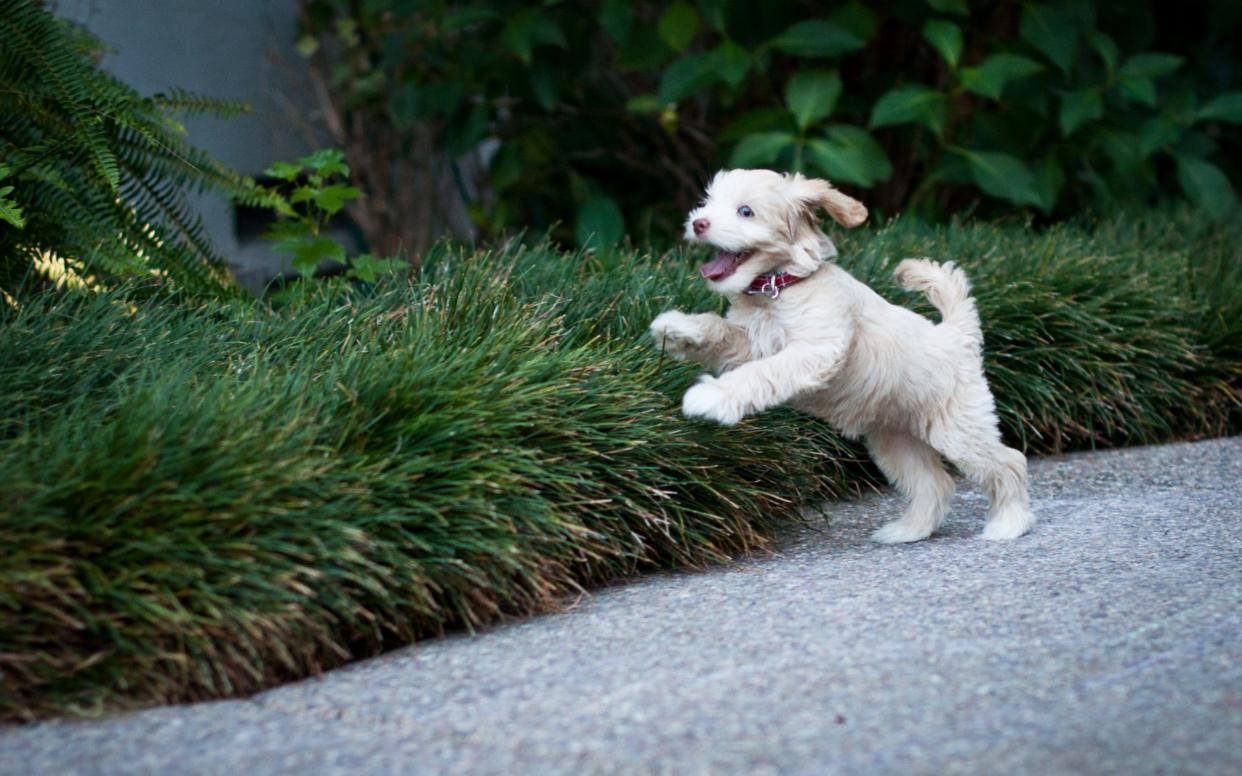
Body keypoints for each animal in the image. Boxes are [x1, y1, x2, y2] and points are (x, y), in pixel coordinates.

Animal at [655, 170, 1033, 541]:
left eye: (745, 211)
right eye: (708, 202)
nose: (698, 223)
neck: (780, 286)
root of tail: (955, 335)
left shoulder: (815, 349)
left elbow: (761, 373)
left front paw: (710, 396)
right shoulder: (751, 344)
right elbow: (720, 331)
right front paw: (679, 329)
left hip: (958, 431)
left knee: (1009, 462)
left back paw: (1009, 523)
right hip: (895, 441)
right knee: (934, 483)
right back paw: (908, 530)